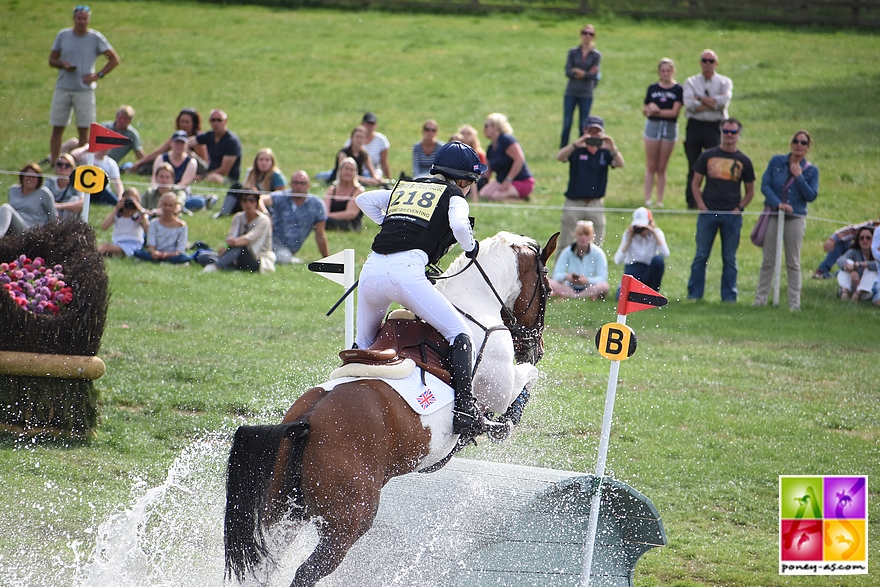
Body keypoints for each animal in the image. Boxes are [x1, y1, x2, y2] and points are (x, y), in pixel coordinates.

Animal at [225, 232, 556, 587]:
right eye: (548, 288)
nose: (537, 349)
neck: (474, 303)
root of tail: (306, 420)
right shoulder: (498, 388)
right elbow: (527, 380)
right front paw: (504, 422)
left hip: (281, 513)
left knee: (265, 566)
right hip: (347, 523)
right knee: (306, 572)